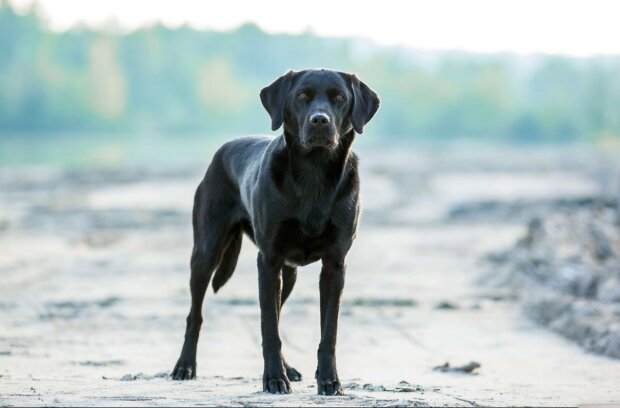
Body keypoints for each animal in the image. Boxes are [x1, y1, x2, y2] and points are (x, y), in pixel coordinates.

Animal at [172, 69, 380, 396]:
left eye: (339, 98)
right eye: (302, 96)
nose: (319, 121)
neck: (314, 172)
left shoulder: (335, 265)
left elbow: (328, 332)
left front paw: (329, 380)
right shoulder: (268, 261)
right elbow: (269, 327)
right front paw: (273, 379)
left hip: (288, 273)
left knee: (279, 312)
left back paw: (289, 368)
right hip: (206, 252)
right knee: (196, 314)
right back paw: (185, 366)